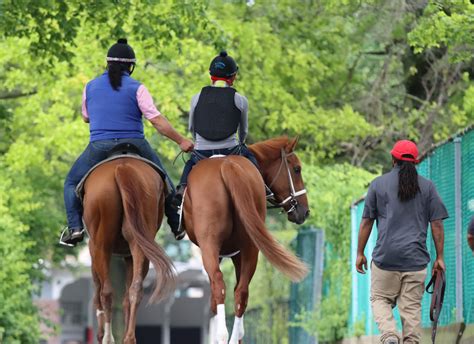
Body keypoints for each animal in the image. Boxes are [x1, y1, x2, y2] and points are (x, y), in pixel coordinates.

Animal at [83, 159, 176, 344]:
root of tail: (122, 168)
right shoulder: (128, 256)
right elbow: (126, 297)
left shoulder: (93, 250)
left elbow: (97, 291)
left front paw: (101, 333)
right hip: (140, 245)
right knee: (135, 289)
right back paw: (129, 337)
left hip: (101, 245)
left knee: (106, 292)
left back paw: (108, 338)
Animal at [182, 137, 312, 344]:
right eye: (297, 169)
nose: (305, 211)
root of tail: (227, 166)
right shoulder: (238, 254)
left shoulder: (220, 254)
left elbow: (215, 299)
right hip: (250, 247)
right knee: (241, 292)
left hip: (211, 245)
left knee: (219, 284)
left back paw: (222, 336)